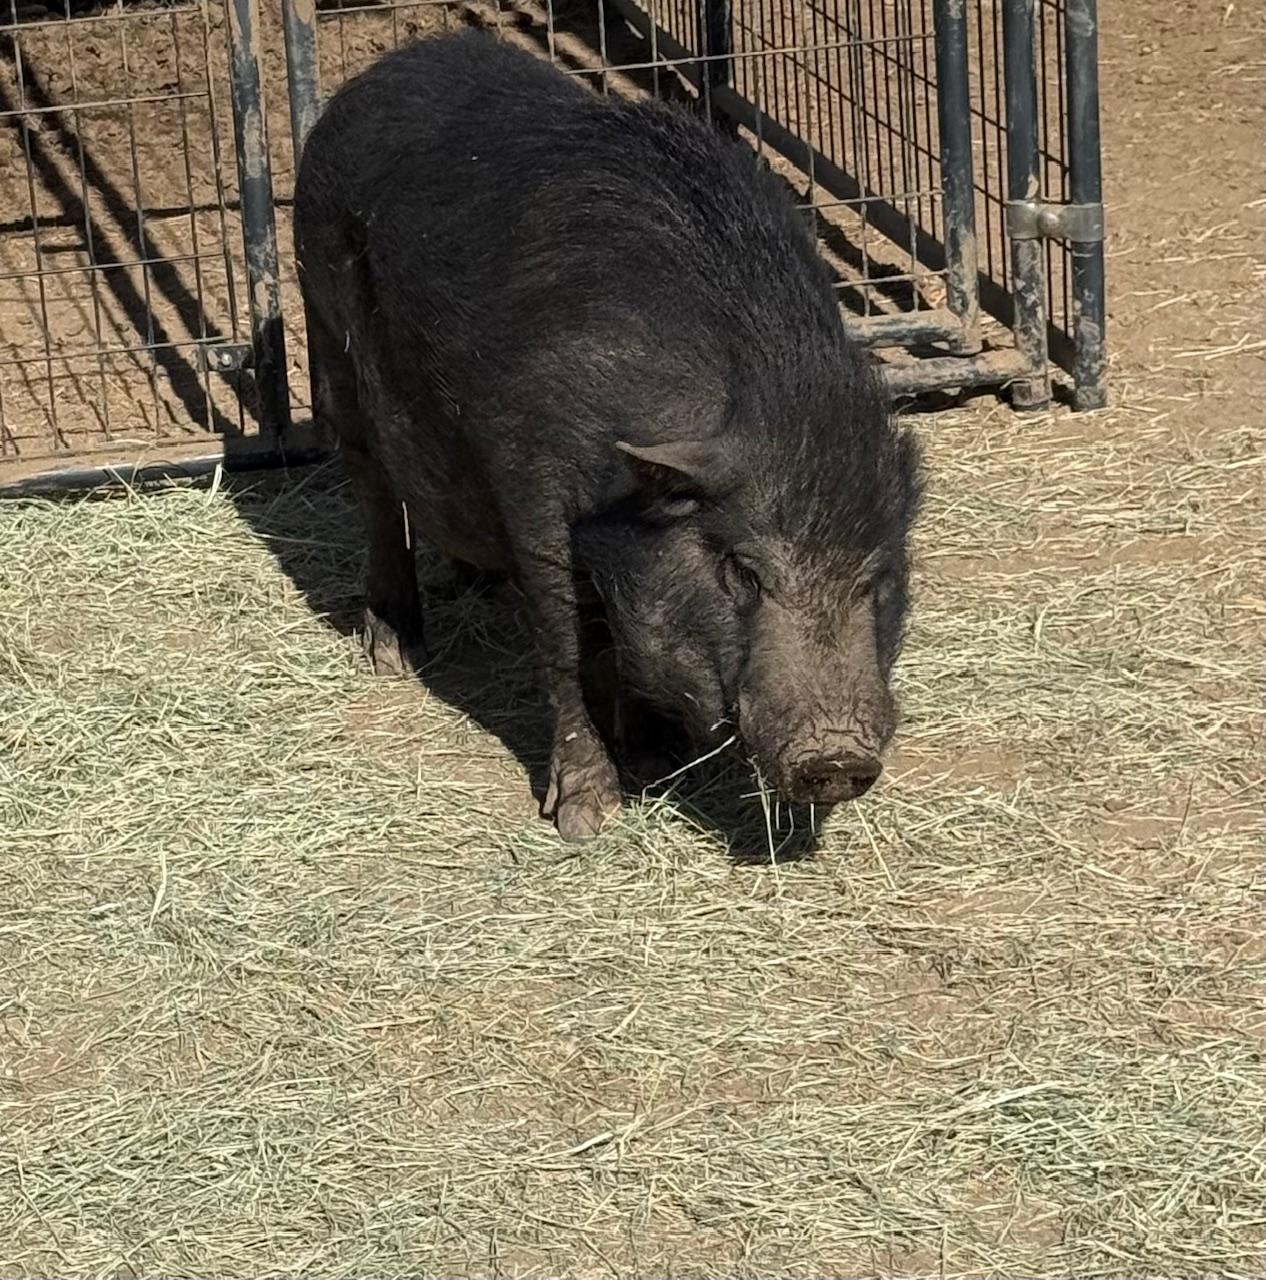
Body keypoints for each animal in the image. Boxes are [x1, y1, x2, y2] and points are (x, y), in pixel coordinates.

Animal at [293, 30, 922, 841]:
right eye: (742, 572)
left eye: (876, 577)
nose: (837, 755)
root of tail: (379, 72)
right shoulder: (530, 479)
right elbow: (569, 643)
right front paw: (586, 819)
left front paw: (656, 760)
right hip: (324, 324)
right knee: (371, 484)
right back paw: (395, 652)